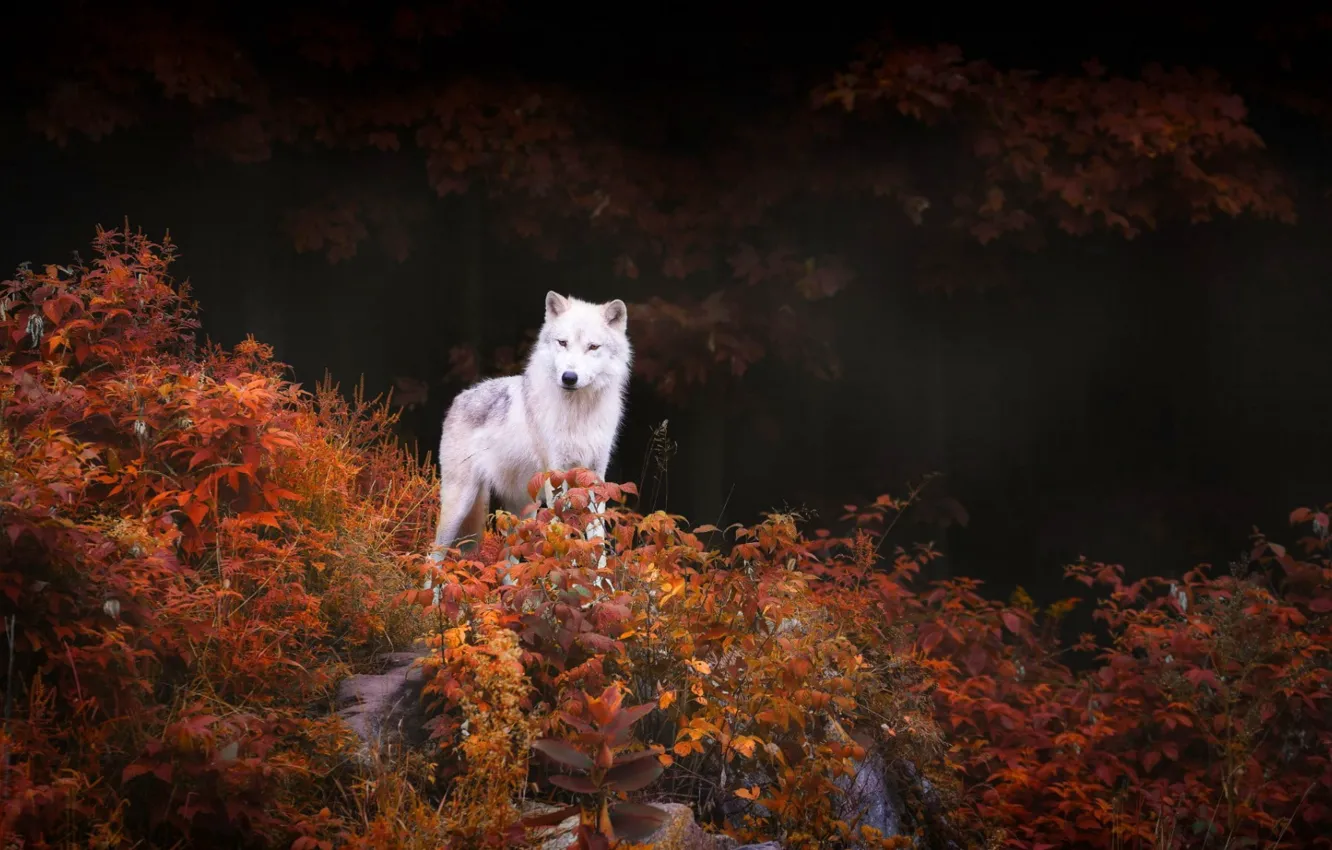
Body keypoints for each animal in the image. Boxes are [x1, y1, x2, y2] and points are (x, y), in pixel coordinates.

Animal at [431, 291, 632, 559]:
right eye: (562, 343)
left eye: (593, 347)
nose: (569, 377)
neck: (578, 414)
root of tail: (460, 397)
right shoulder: (556, 475)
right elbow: (563, 531)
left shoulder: (595, 477)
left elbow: (596, 536)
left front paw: (597, 572)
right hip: (460, 504)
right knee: (433, 556)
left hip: (521, 511)